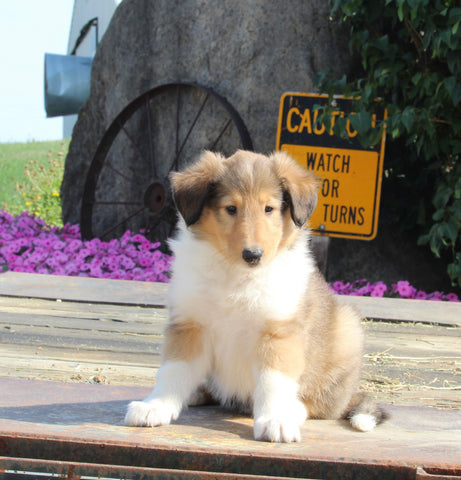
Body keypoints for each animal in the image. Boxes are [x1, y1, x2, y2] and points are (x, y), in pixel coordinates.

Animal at [125, 150, 384, 442]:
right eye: (231, 208)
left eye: (268, 208)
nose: (253, 255)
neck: (237, 276)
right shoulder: (190, 325)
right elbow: (174, 370)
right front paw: (155, 406)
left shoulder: (277, 331)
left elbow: (273, 381)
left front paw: (276, 420)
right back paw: (195, 393)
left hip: (347, 332)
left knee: (320, 404)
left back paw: (293, 410)